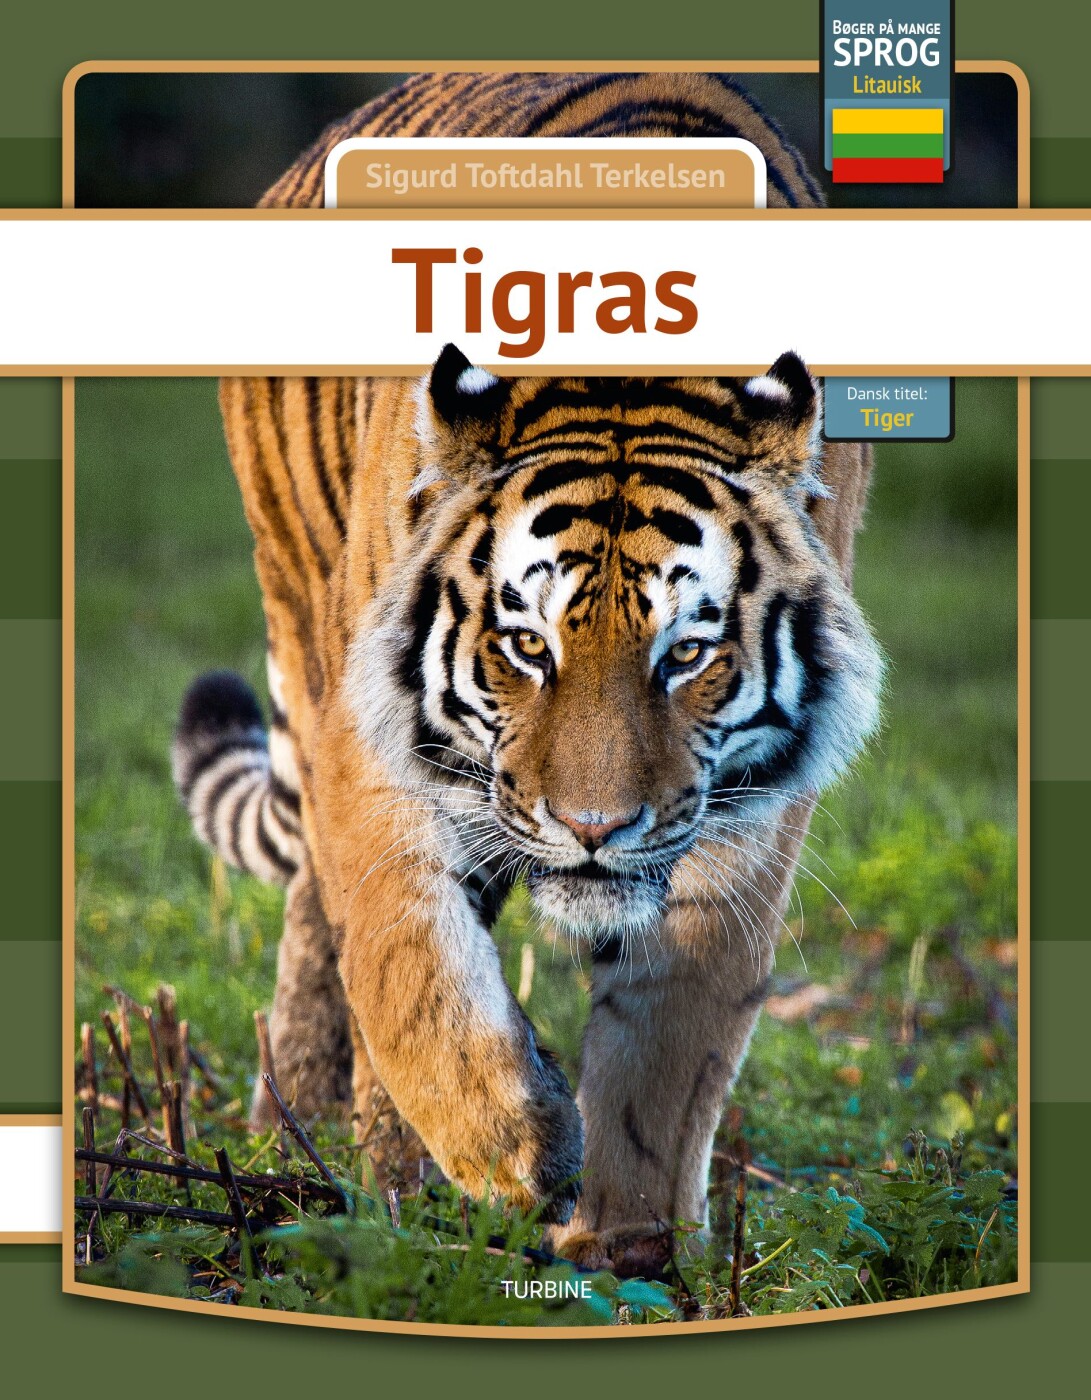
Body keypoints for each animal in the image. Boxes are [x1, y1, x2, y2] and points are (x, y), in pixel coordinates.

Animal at [171, 71, 881, 1276]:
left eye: (685, 653)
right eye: (527, 645)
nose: (592, 829)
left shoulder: (744, 814)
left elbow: (673, 1033)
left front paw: (629, 1246)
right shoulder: (376, 752)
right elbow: (409, 968)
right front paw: (515, 1149)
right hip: (304, 623)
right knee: (331, 920)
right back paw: (347, 1157)